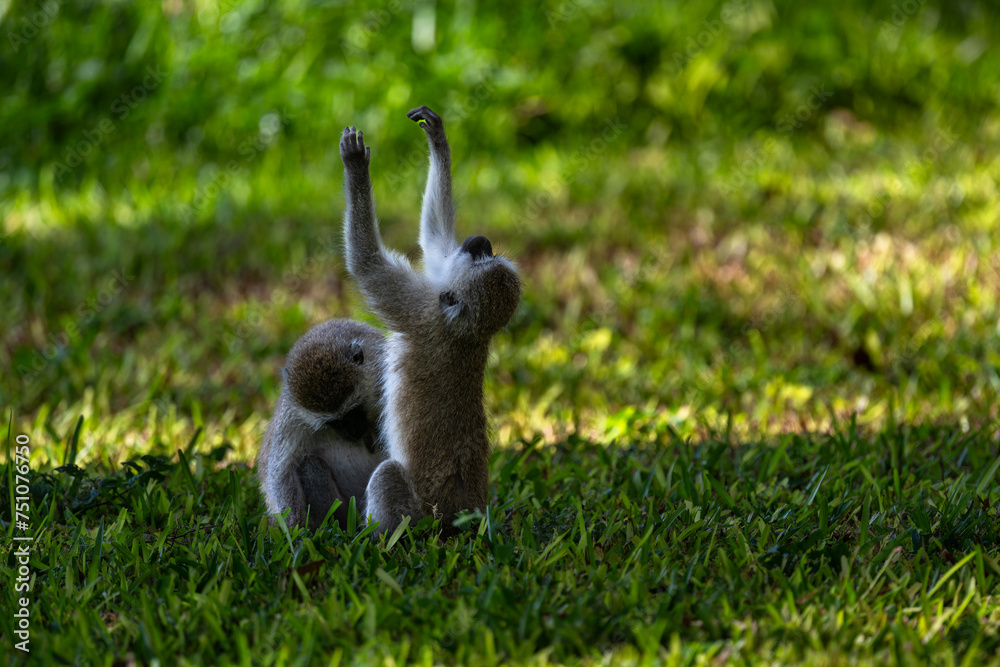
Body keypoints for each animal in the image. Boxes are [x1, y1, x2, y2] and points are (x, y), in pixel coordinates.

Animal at [257, 318, 388, 530]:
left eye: (354, 410)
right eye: (333, 422)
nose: (353, 432)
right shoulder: (292, 417)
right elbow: (280, 471)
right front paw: (295, 528)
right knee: (310, 465)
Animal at [339, 105, 522, 537]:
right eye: (484, 256)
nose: (480, 242)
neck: (465, 331)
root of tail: (461, 519)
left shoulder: (419, 310)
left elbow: (367, 262)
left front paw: (356, 167)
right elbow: (435, 238)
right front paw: (438, 138)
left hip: (418, 514)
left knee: (388, 476)